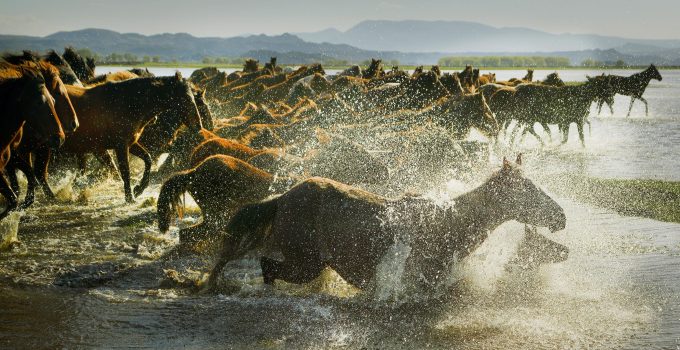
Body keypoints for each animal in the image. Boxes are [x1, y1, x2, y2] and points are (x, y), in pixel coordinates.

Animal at [32, 72, 202, 202]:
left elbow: (147, 160)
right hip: (44, 147)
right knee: (39, 173)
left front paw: (138, 189)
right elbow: (126, 171)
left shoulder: (130, 143)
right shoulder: (121, 146)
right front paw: (130, 197)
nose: (199, 126)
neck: (129, 103)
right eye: (186, 98)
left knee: (39, 174)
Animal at [209, 156, 568, 292]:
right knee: (267, 266)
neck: (452, 224)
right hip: (304, 262)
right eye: (527, 189)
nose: (561, 217)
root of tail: (282, 198)